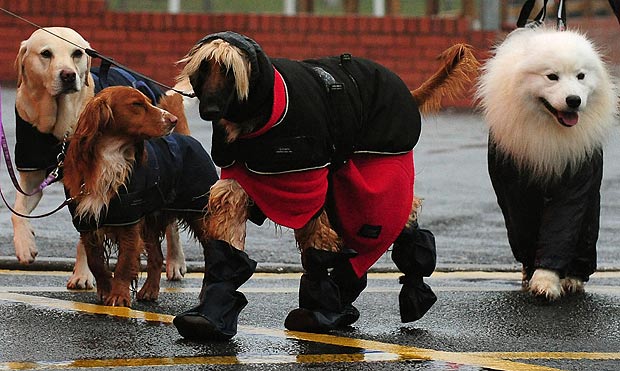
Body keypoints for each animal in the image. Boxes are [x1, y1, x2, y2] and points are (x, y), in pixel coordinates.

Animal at [13, 27, 186, 290]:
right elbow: (17, 211)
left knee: (172, 220)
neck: (60, 126)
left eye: (77, 54)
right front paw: (25, 245)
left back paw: (176, 261)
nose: (68, 75)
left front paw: (84, 274)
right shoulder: (31, 176)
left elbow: (88, 233)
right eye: (45, 54)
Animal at [173, 31, 480, 340]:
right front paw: (208, 317)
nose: (209, 110)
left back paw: (409, 290)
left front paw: (316, 313)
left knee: (394, 219)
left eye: (228, 71)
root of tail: (403, 89)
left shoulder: (306, 188)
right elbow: (227, 239)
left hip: (378, 176)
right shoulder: (239, 185)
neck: (264, 119)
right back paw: (347, 299)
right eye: (203, 69)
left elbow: (317, 248)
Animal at [478, 26, 616, 300]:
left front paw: (546, 281)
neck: (548, 134)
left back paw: (573, 278)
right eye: (552, 77)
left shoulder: (577, 178)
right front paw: (537, 276)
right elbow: (526, 229)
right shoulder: (515, 187)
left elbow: (562, 227)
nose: (574, 100)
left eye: (581, 76)